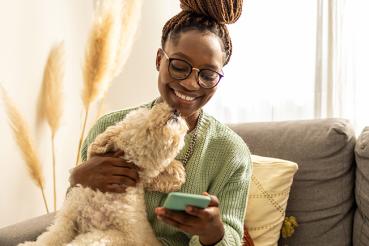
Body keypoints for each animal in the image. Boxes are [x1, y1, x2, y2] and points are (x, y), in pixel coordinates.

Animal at [19, 101, 187, 244]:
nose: (177, 110)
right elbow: (51, 236)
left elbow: (86, 240)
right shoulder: (68, 218)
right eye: (147, 111)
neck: (104, 197)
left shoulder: (120, 235)